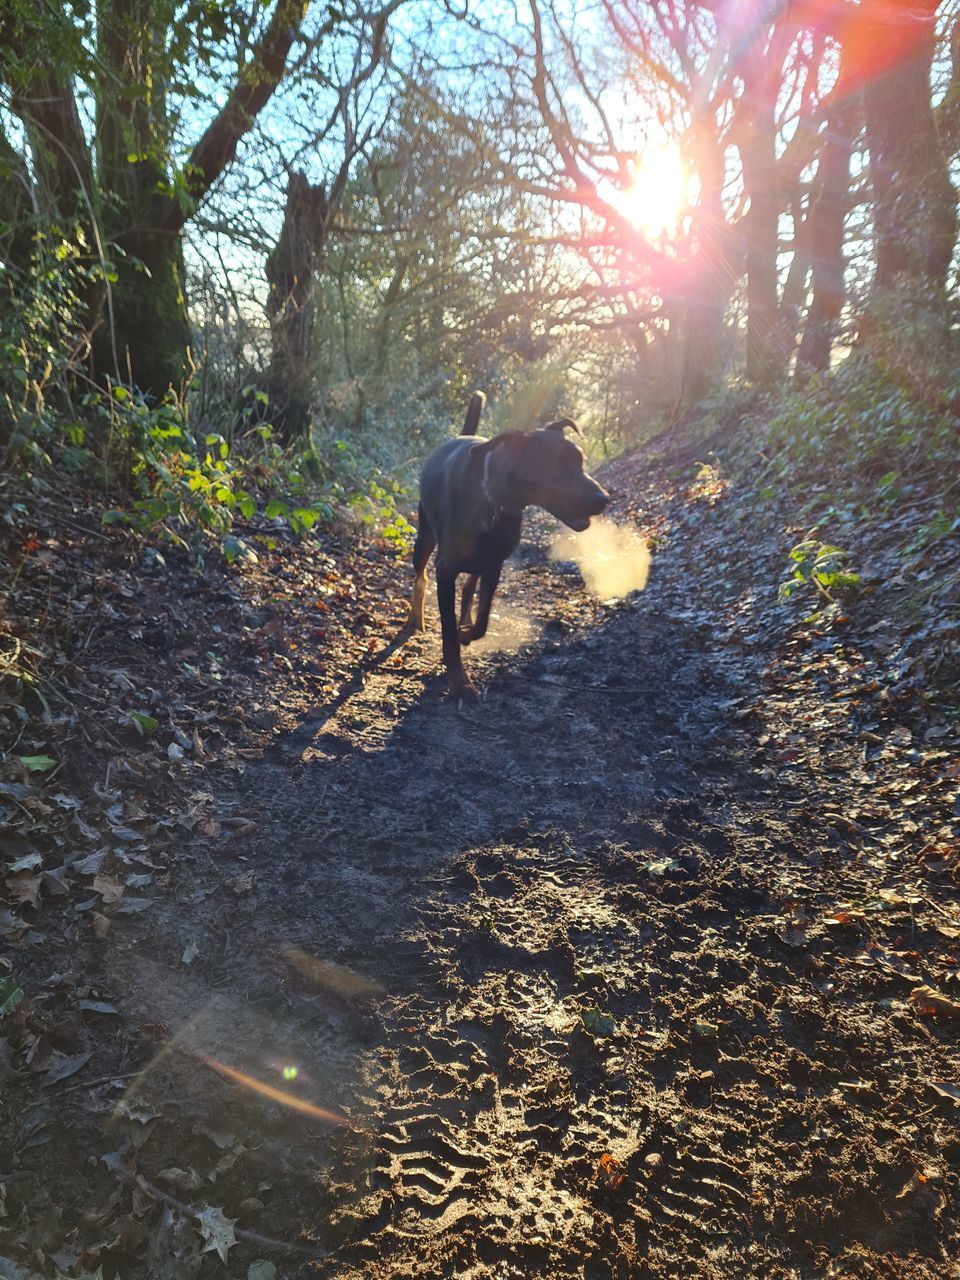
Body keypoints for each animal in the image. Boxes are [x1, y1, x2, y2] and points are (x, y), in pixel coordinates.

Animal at [412, 389, 609, 696]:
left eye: (581, 461)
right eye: (555, 467)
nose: (604, 499)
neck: (494, 501)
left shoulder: (494, 565)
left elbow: (483, 620)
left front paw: (466, 633)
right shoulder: (446, 568)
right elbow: (447, 629)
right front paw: (458, 678)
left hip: (481, 558)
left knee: (469, 586)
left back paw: (464, 619)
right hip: (424, 539)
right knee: (420, 576)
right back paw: (415, 617)